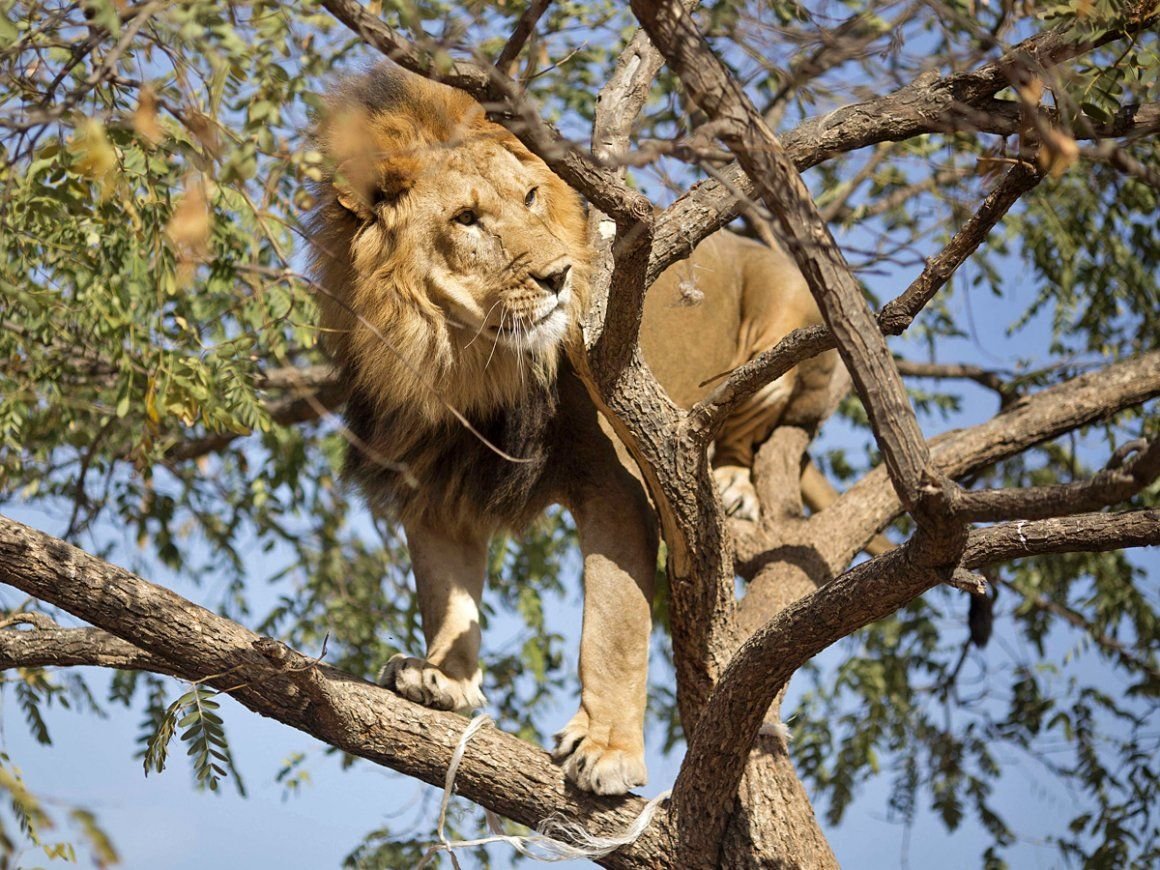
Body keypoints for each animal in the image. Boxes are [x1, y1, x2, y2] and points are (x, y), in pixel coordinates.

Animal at [313, 61, 867, 798]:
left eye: (529, 196)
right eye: (466, 219)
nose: (559, 275)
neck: (463, 362)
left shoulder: (616, 481)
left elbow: (613, 626)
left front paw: (607, 749)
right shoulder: (434, 479)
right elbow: (447, 594)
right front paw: (444, 680)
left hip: (782, 328)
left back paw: (730, 483)